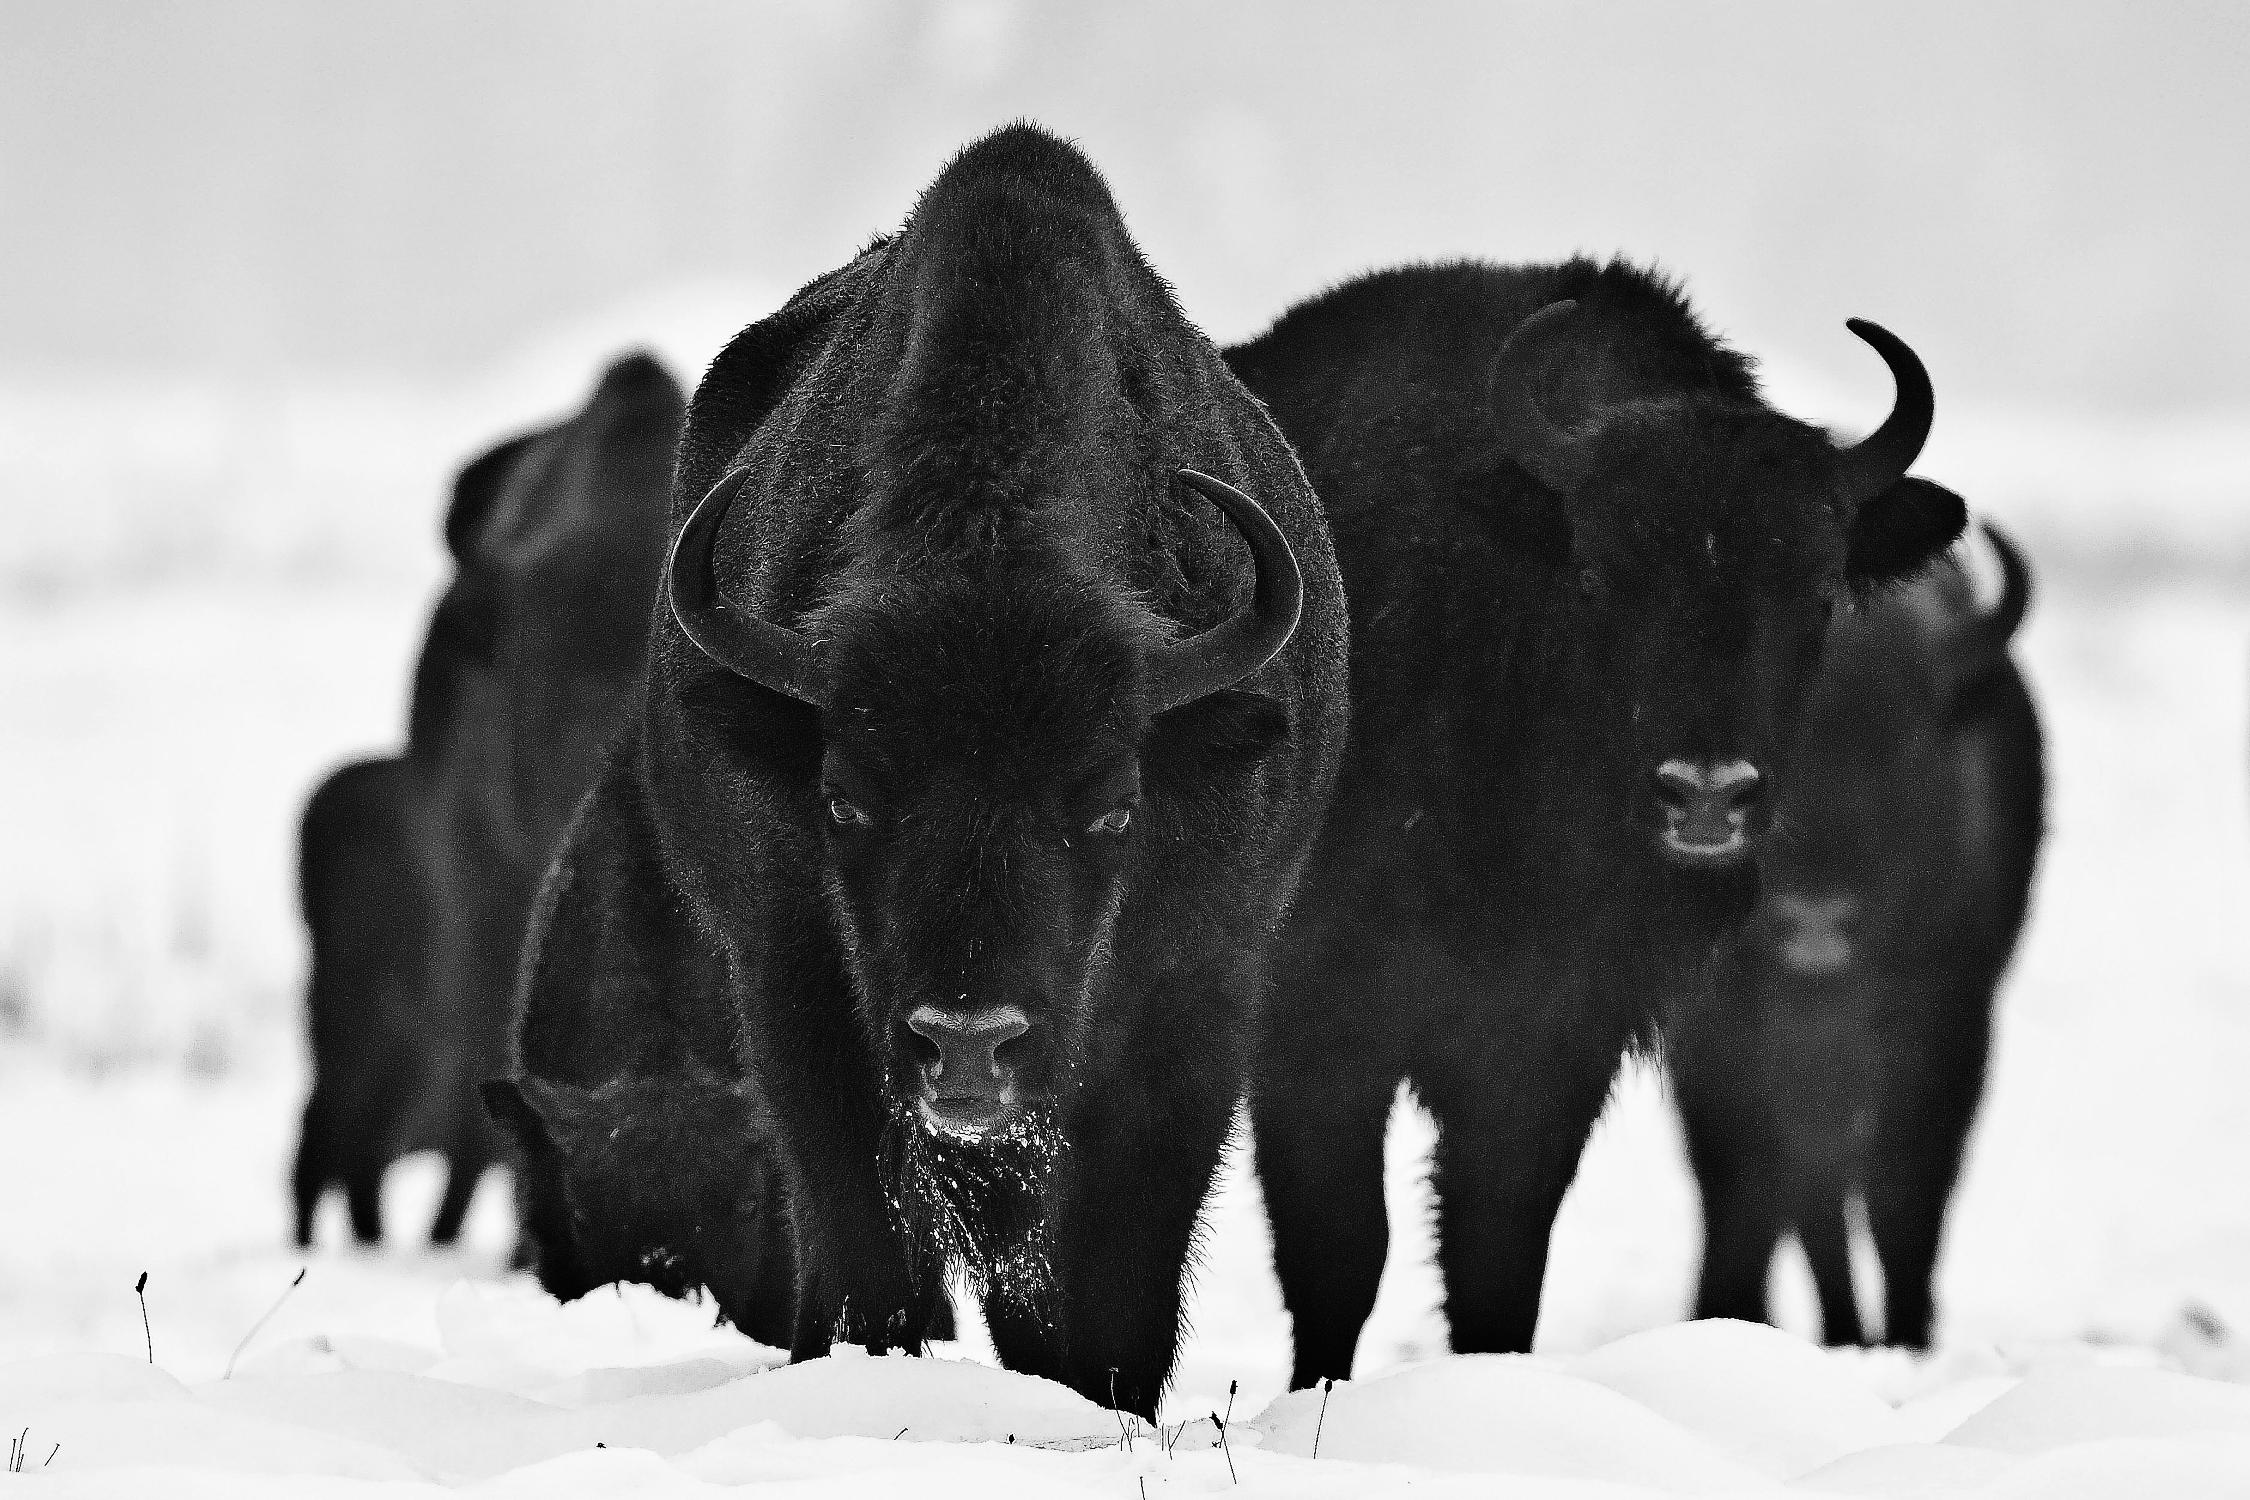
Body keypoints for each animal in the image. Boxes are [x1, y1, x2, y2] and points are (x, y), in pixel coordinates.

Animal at [501, 125, 1341, 1421]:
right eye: (846, 800)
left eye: (1113, 809)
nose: (968, 1043)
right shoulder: (796, 982)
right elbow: (862, 1234)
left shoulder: (1191, 1000)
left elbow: (1122, 1260)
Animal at [1233, 255, 1971, 1385]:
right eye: (1598, 574)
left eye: (1816, 588)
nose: (1705, 793)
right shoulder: (1317, 1030)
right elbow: (1339, 1250)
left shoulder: (1553, 1043)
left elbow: (1498, 1252)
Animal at [1665, 517, 2052, 1349]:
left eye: (1905, 748)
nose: (1814, 915)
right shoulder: (1715, 1033)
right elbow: (1750, 1175)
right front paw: (1727, 1313)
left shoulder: (1943, 1022)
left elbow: (1900, 1189)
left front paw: (1906, 1337)